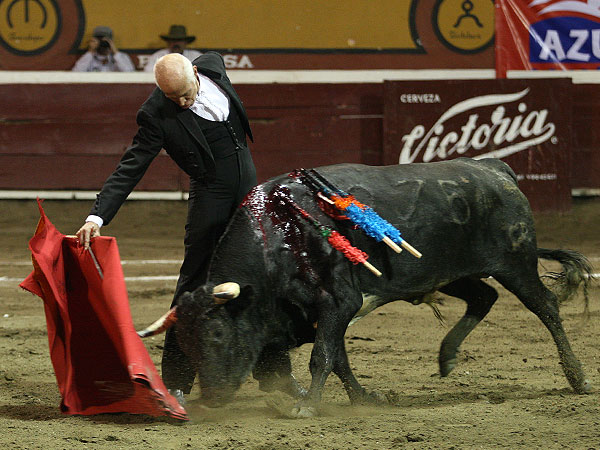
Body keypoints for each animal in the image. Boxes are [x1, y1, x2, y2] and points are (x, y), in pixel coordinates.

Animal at [138, 158, 593, 418]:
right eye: (185, 342)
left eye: (217, 334)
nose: (212, 397)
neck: (280, 235)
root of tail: (496, 168)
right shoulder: (330, 312)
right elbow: (338, 359)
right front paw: (363, 399)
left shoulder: (339, 302)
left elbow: (322, 357)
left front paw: (306, 406)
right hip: (451, 273)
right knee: (485, 296)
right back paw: (446, 357)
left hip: (517, 264)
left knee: (547, 307)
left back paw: (578, 378)